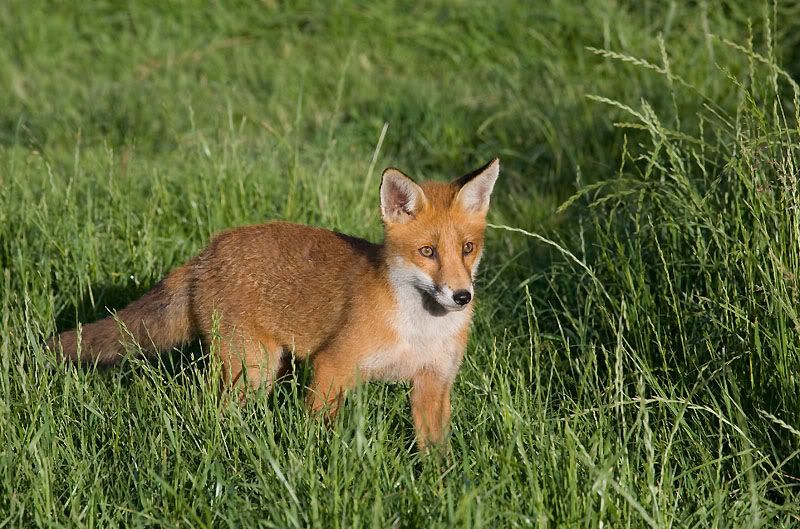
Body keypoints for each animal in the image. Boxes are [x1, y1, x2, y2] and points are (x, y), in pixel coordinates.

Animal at [49, 158, 500, 449]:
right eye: (427, 252)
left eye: (467, 248)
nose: (462, 296)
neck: (418, 330)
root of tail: (206, 252)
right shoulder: (333, 366)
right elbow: (321, 437)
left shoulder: (433, 383)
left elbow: (437, 457)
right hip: (253, 370)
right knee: (215, 410)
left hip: (267, 366)